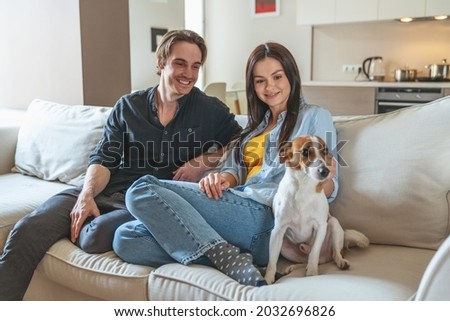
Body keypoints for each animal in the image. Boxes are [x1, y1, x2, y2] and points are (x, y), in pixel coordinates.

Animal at [264, 134, 370, 284]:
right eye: (305, 152)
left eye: (325, 151)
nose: (325, 171)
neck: (303, 187)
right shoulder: (278, 231)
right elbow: (272, 261)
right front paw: (267, 279)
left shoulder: (320, 226)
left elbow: (314, 253)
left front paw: (312, 273)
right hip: (284, 246)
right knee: (305, 260)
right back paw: (293, 267)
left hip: (333, 224)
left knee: (333, 254)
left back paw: (340, 261)